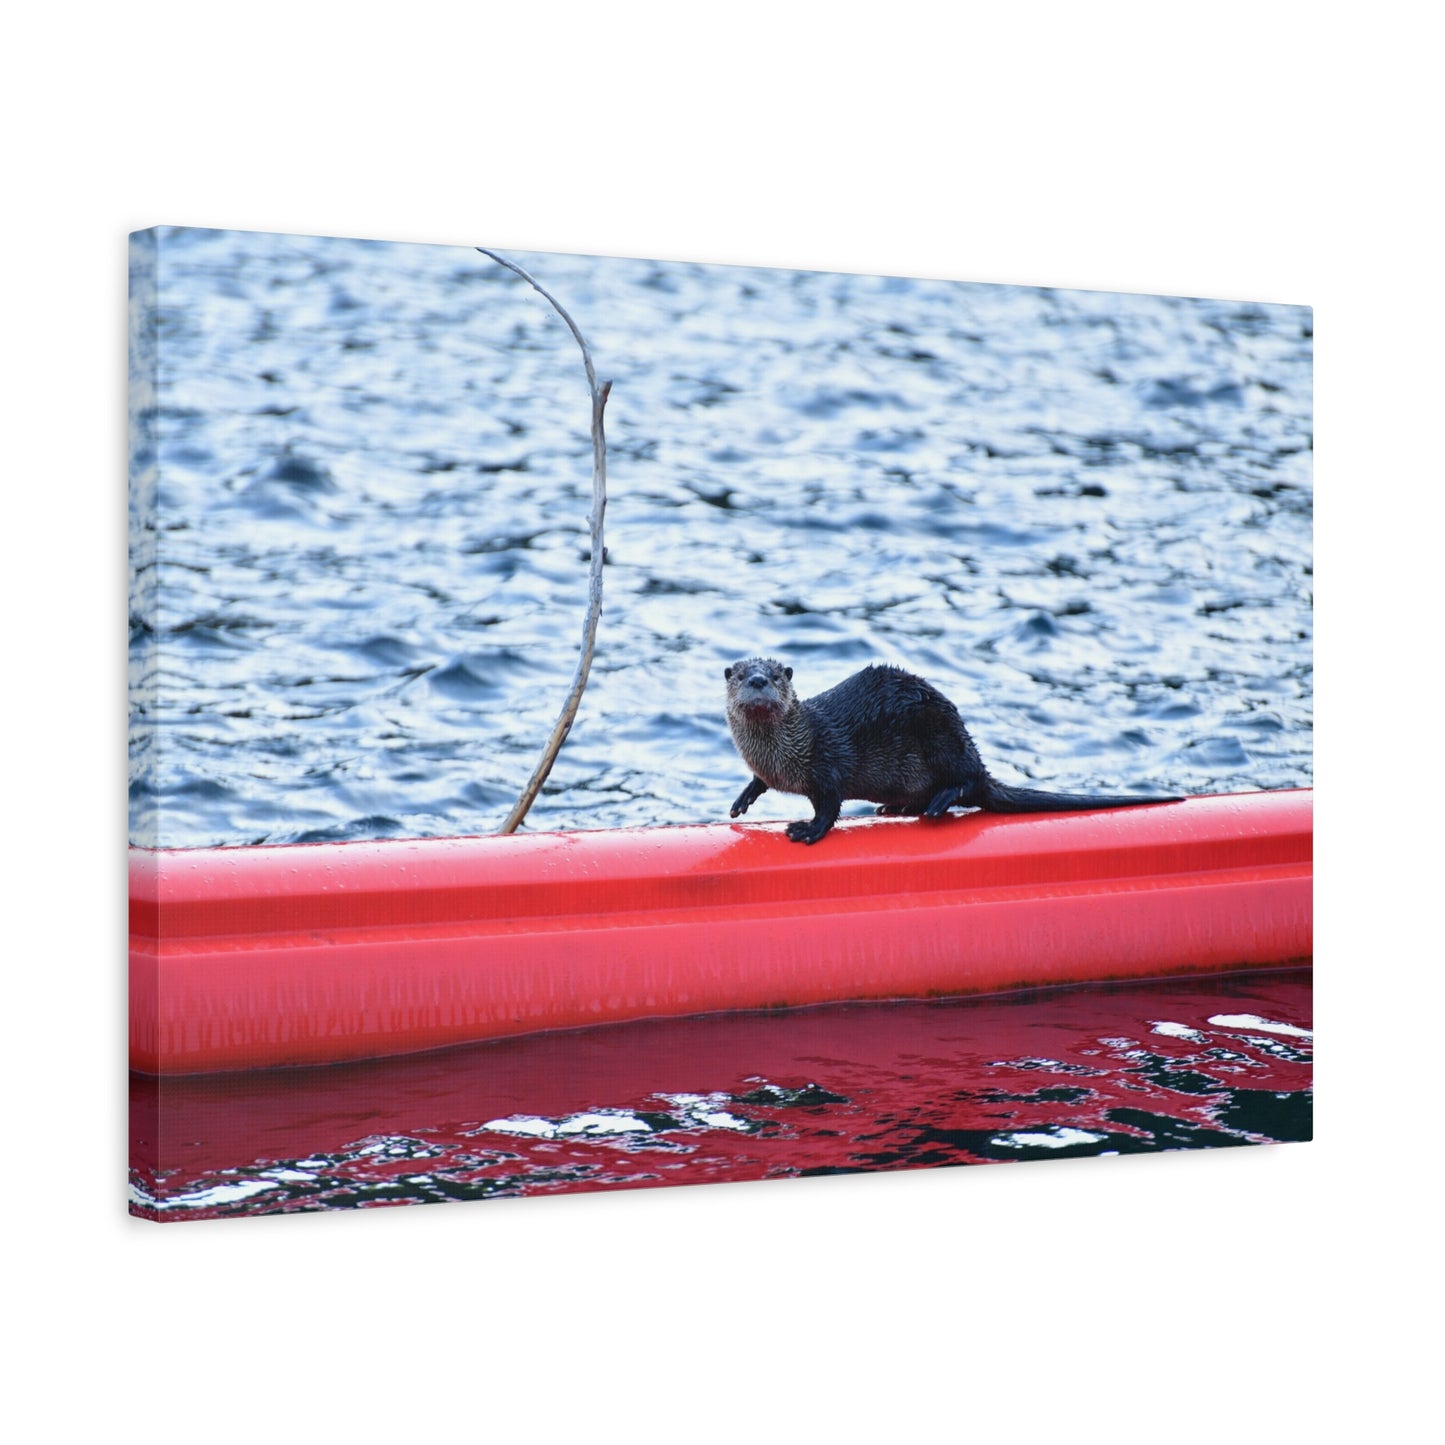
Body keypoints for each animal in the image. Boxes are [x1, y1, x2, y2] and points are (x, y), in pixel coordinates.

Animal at [725, 657, 1179, 844]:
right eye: (741, 675)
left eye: (777, 676)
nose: (760, 681)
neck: (787, 753)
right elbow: (759, 781)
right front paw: (743, 799)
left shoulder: (828, 763)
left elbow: (829, 807)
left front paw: (806, 830)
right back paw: (895, 807)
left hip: (940, 735)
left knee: (964, 781)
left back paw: (937, 803)